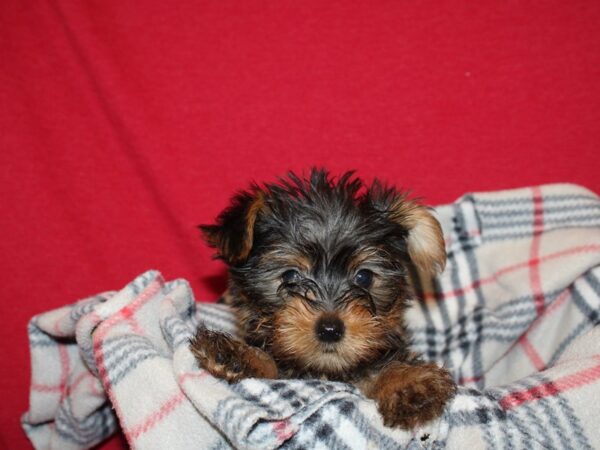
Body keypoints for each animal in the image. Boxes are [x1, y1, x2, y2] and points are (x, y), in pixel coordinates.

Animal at [192, 169, 454, 428]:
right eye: (290, 276)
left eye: (364, 277)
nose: (330, 329)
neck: (325, 371)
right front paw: (240, 356)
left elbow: (380, 367)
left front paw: (407, 383)